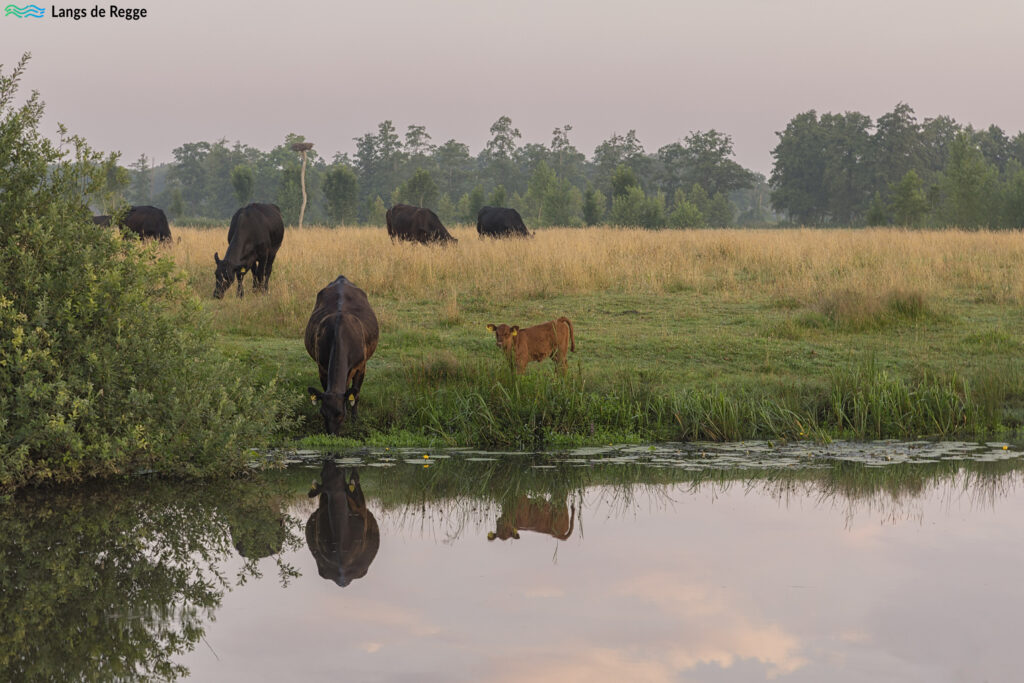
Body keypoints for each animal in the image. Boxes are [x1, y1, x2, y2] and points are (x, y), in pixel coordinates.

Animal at [305, 276, 379, 435]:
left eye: (341, 414)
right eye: (322, 413)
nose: (331, 434)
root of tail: (341, 278)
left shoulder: (361, 366)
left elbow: (355, 394)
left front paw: (355, 420)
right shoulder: (322, 367)